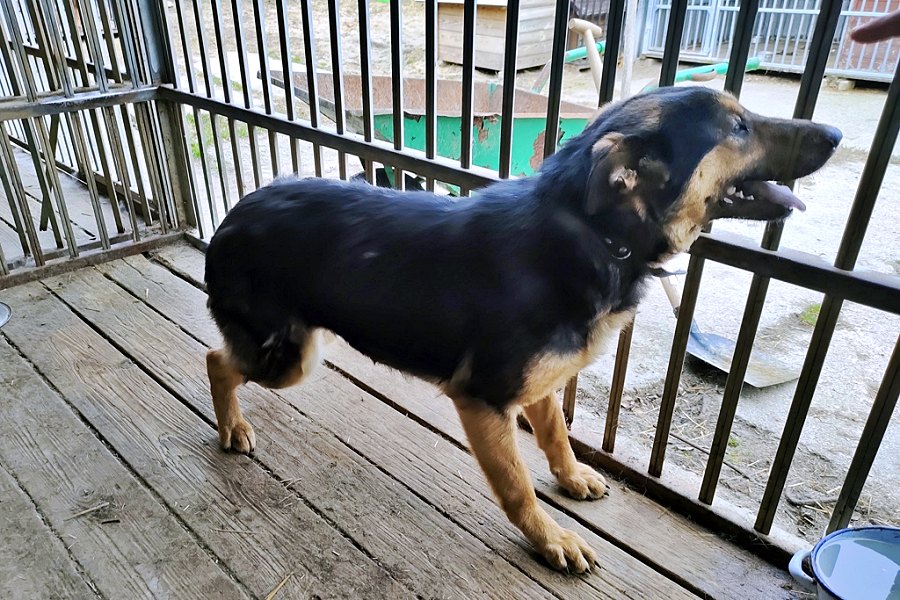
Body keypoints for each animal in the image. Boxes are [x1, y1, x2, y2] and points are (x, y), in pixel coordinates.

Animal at [204, 86, 840, 573]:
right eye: (738, 126)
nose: (836, 134)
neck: (595, 235)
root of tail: (234, 213)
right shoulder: (482, 400)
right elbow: (517, 486)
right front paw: (551, 537)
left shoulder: (541, 386)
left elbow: (556, 436)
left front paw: (573, 478)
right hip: (289, 358)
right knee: (216, 361)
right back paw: (232, 427)